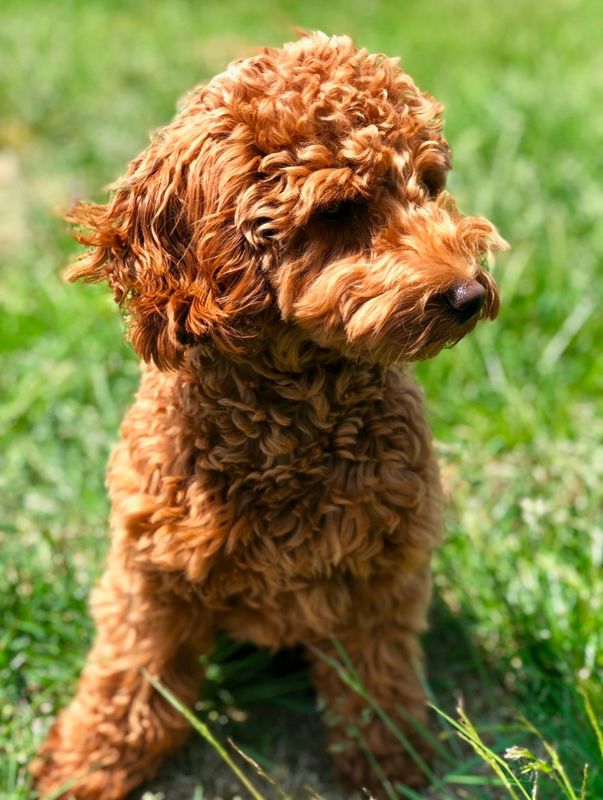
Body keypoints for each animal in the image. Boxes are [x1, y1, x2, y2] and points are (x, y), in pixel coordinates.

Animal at [30, 31, 508, 800]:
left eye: (431, 185)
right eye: (339, 209)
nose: (468, 295)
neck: (288, 419)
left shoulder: (381, 575)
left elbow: (377, 684)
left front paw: (390, 764)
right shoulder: (150, 574)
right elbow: (128, 678)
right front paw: (85, 767)